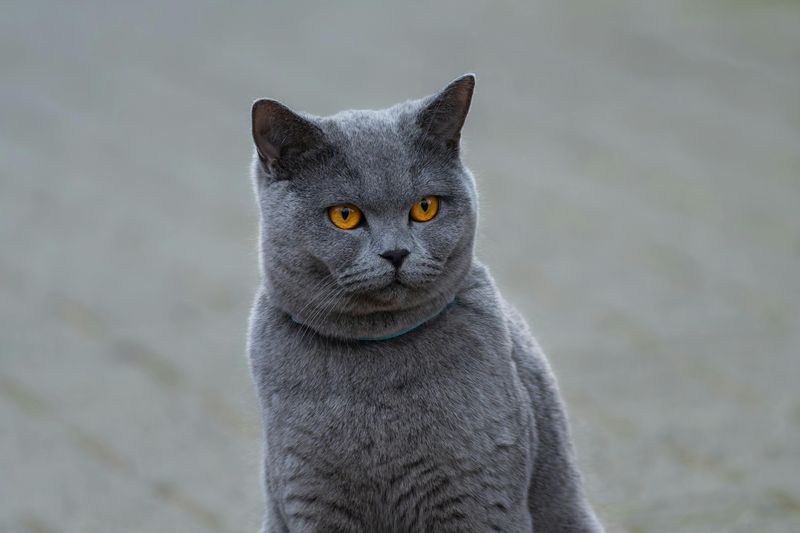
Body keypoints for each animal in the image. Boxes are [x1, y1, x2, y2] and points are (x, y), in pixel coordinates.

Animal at [247, 75, 604, 532]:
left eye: (425, 207)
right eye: (344, 215)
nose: (396, 253)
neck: (374, 366)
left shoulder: (478, 494)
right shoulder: (308, 494)